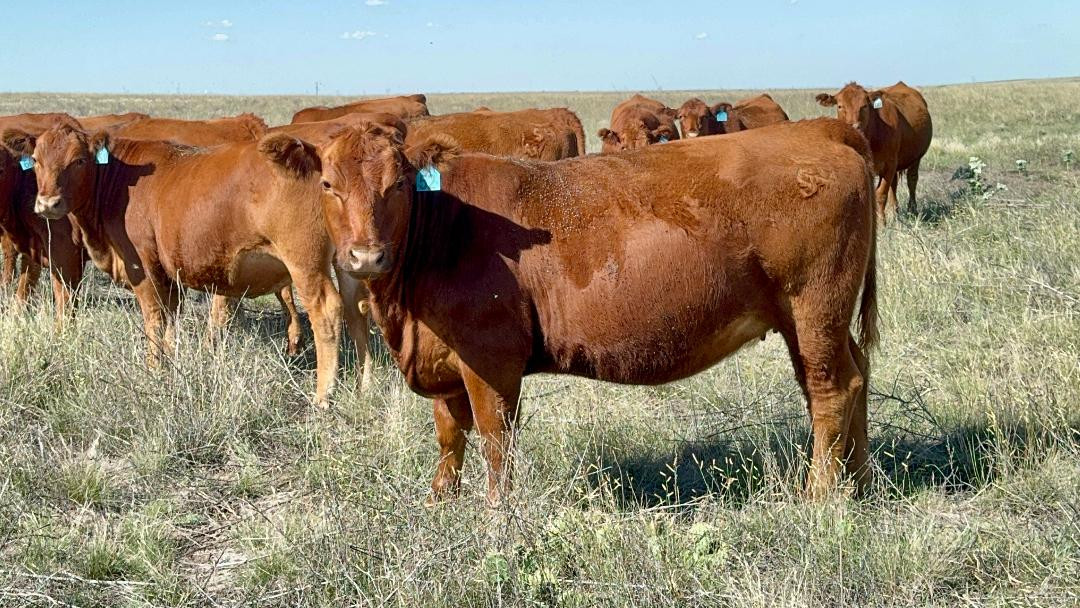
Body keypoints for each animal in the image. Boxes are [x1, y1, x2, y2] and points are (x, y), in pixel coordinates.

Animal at [812, 81, 933, 221]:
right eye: (840, 106)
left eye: (864, 106)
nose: (854, 127)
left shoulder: (889, 165)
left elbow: (880, 194)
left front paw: (881, 222)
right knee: (894, 185)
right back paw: (894, 213)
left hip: (916, 158)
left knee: (912, 181)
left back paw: (912, 210)